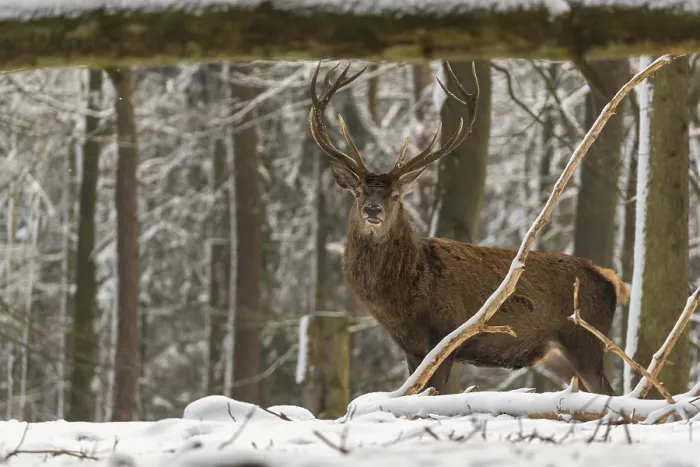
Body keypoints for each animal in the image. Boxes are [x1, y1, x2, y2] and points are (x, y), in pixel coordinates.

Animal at [308, 61, 629, 396]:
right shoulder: (412, 348)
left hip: (585, 339)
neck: (400, 298)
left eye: (395, 196)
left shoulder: (444, 337)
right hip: (558, 355)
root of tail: (610, 281)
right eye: (358, 192)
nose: (373, 210)